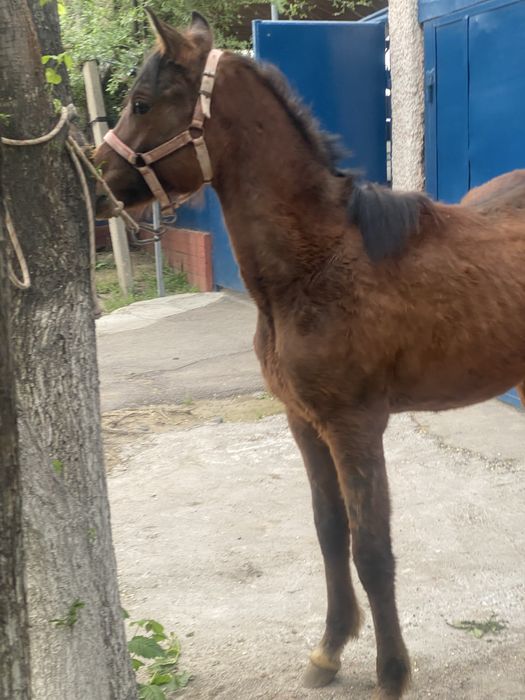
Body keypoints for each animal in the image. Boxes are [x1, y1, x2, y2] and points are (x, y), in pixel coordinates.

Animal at [94, 12, 525, 699]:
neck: (317, 263)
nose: (97, 181)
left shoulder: (356, 427)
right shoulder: (304, 422)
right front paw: (329, 650)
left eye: (140, 101)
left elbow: (371, 548)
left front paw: (391, 672)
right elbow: (329, 533)